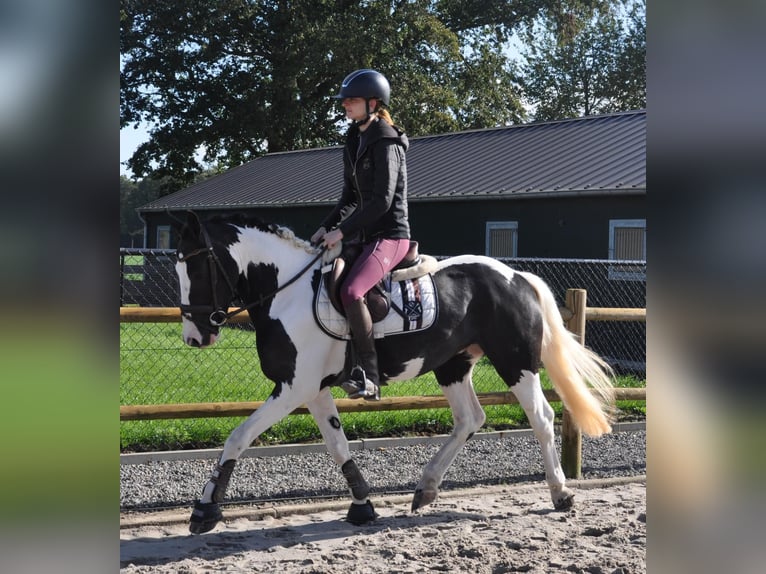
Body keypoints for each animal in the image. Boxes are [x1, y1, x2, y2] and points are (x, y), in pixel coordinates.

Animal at [174, 212, 616, 536]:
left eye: (196, 268)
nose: (195, 337)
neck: (287, 292)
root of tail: (517, 277)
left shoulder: (293, 388)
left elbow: (238, 437)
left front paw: (205, 510)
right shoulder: (313, 390)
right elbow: (337, 445)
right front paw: (363, 506)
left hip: (514, 362)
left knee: (541, 417)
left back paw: (561, 493)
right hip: (454, 365)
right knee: (469, 419)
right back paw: (426, 489)